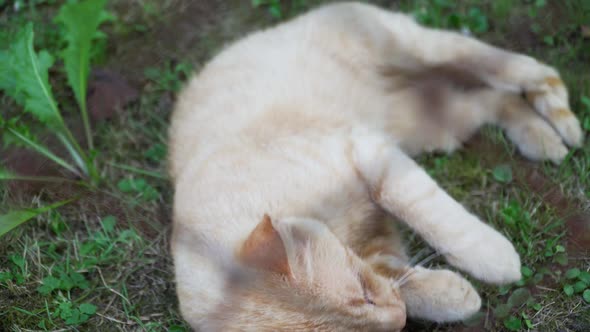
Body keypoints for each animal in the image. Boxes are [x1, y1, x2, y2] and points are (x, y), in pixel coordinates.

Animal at [169, 1, 584, 330]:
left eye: (364, 291)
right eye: (362, 328)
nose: (398, 320)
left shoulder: (370, 153)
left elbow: (431, 213)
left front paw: (493, 257)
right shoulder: (380, 244)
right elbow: (406, 277)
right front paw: (454, 295)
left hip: (420, 49)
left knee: (521, 68)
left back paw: (564, 126)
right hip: (439, 121)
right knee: (497, 99)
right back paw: (540, 137)